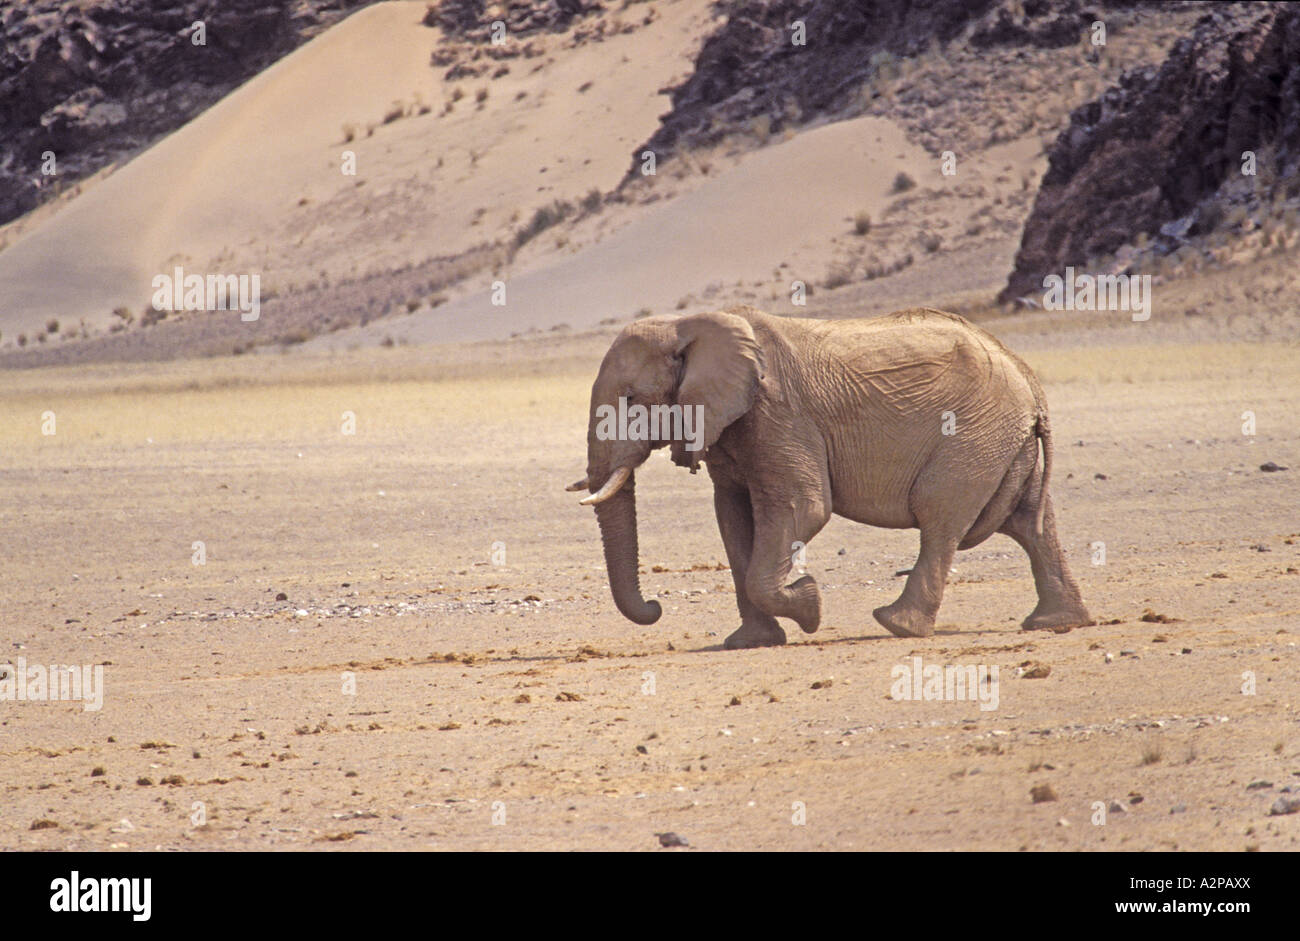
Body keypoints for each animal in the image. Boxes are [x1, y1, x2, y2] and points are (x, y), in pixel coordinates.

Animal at [564, 306, 1092, 647]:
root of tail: (1029, 378)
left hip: (974, 436)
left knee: (940, 518)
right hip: (1004, 443)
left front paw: (810, 605)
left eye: (632, 399)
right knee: (1030, 524)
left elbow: (803, 506)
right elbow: (732, 516)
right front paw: (752, 641)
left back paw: (895, 624)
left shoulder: (777, 413)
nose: (655, 607)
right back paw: (1056, 623)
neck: (687, 324)